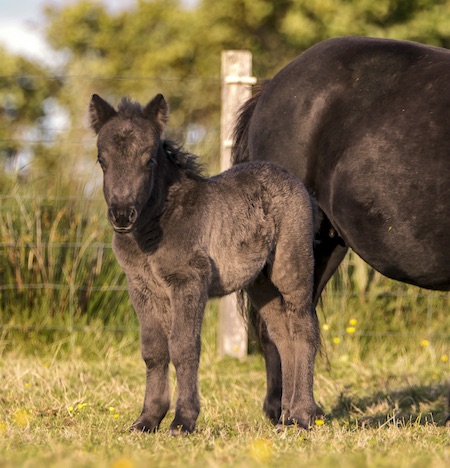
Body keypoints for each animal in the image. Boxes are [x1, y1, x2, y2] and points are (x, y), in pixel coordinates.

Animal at [89, 94, 320, 436]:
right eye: (102, 161)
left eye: (150, 161)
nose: (121, 214)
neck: (155, 227)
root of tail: (293, 180)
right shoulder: (142, 288)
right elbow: (153, 350)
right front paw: (147, 420)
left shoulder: (189, 282)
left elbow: (184, 346)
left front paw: (183, 421)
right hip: (260, 284)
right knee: (283, 336)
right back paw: (286, 418)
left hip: (291, 268)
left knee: (304, 329)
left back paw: (302, 416)